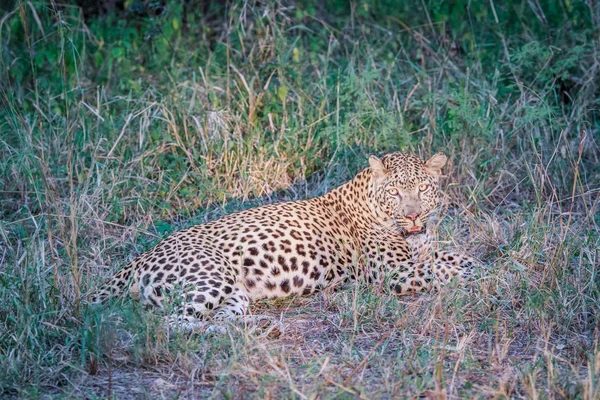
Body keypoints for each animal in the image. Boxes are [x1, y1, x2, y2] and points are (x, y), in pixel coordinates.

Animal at [90, 153, 474, 328]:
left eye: (422, 189)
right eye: (395, 192)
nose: (413, 216)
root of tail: (140, 257)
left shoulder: (422, 254)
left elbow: (457, 257)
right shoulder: (396, 272)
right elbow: (452, 268)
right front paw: (482, 274)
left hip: (235, 295)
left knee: (213, 320)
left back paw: (255, 329)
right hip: (210, 278)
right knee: (174, 325)